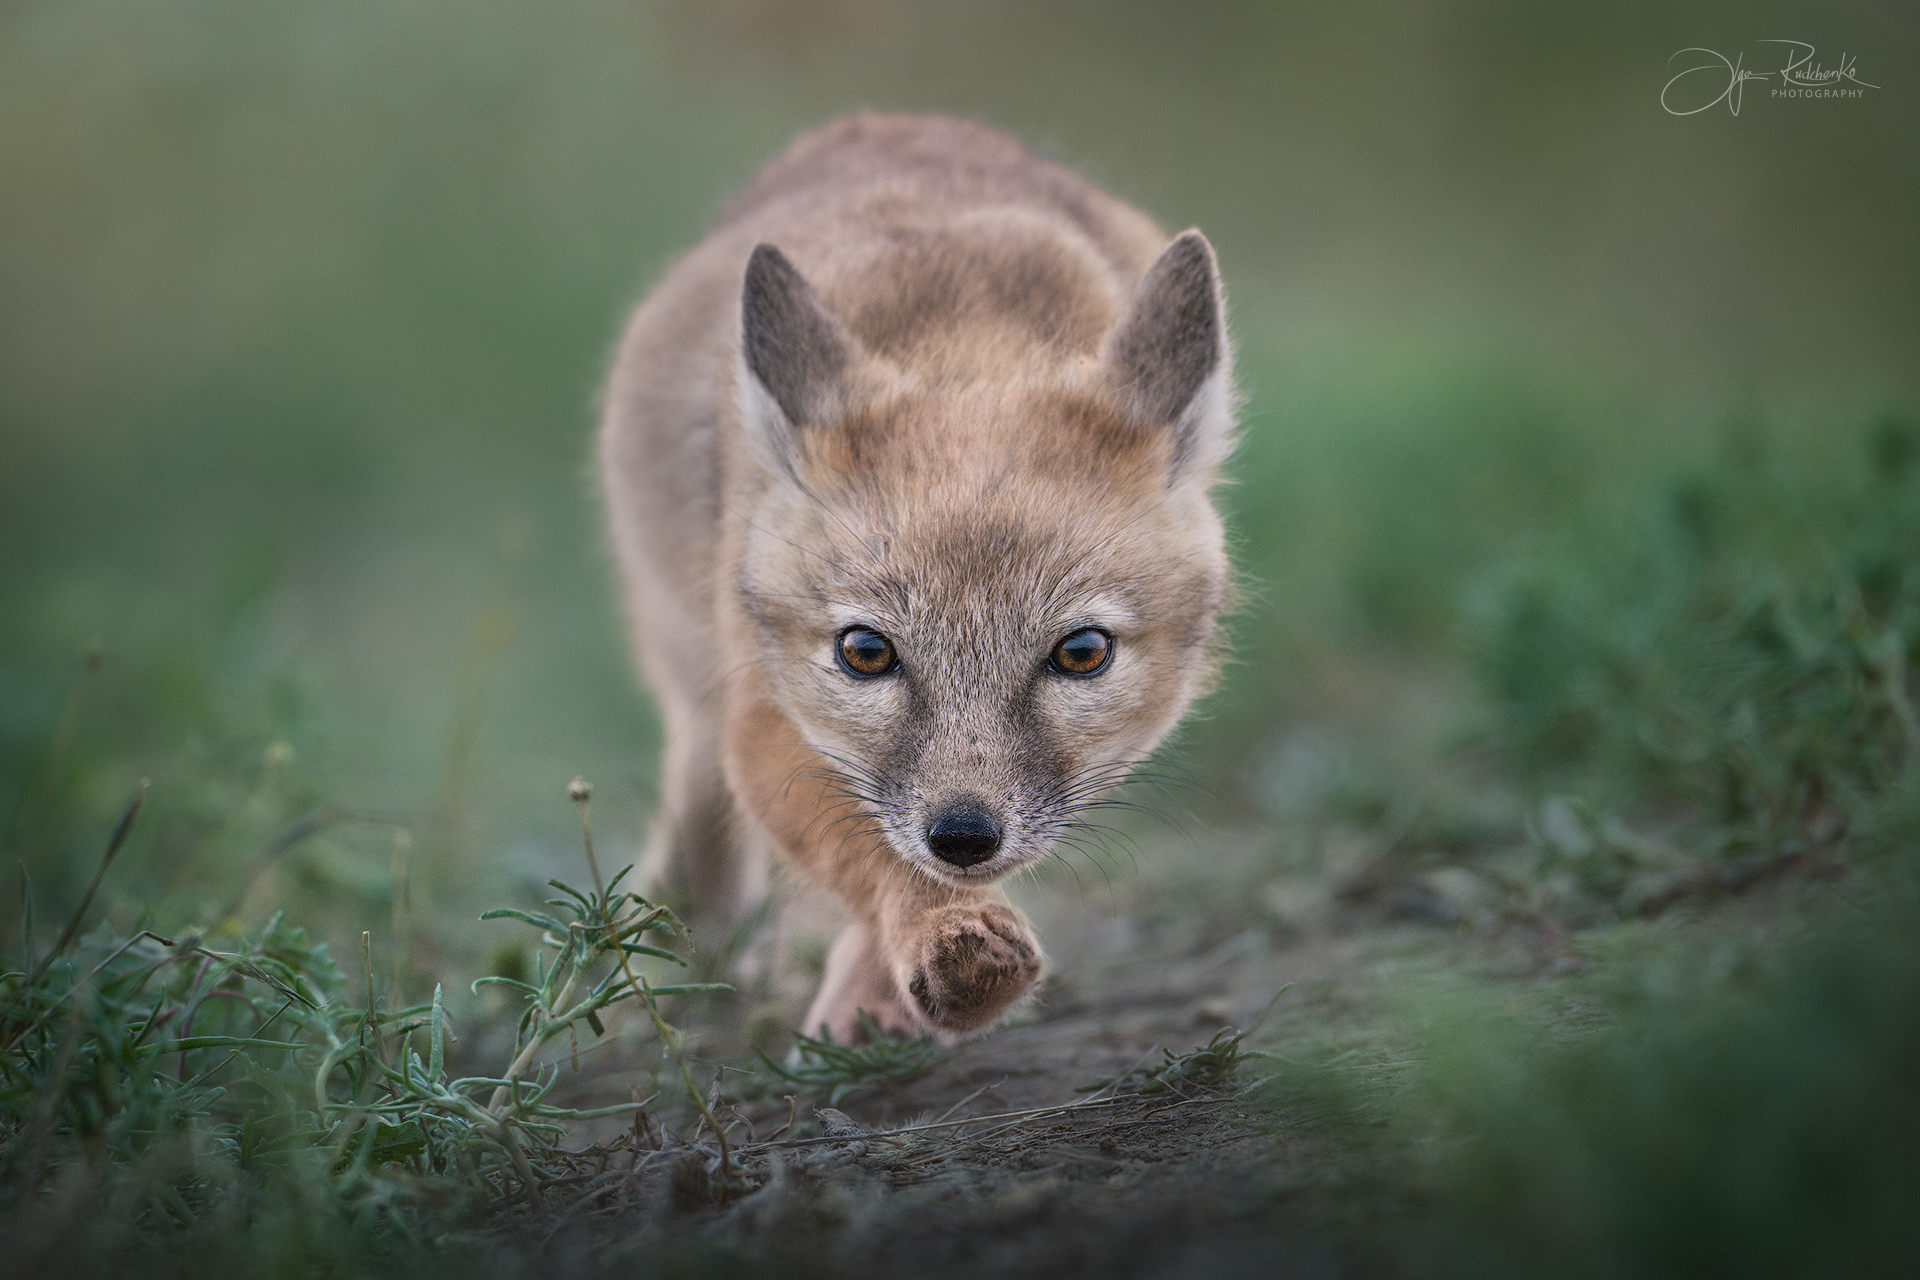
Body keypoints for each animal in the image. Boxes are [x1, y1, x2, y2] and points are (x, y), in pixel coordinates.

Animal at [598, 113, 1236, 1045]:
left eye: (1081, 653)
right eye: (866, 652)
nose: (963, 836)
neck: (966, 333)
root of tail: (880, 120)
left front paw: (887, 985)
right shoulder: (762, 713)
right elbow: (873, 853)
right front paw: (940, 935)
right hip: (693, 667)